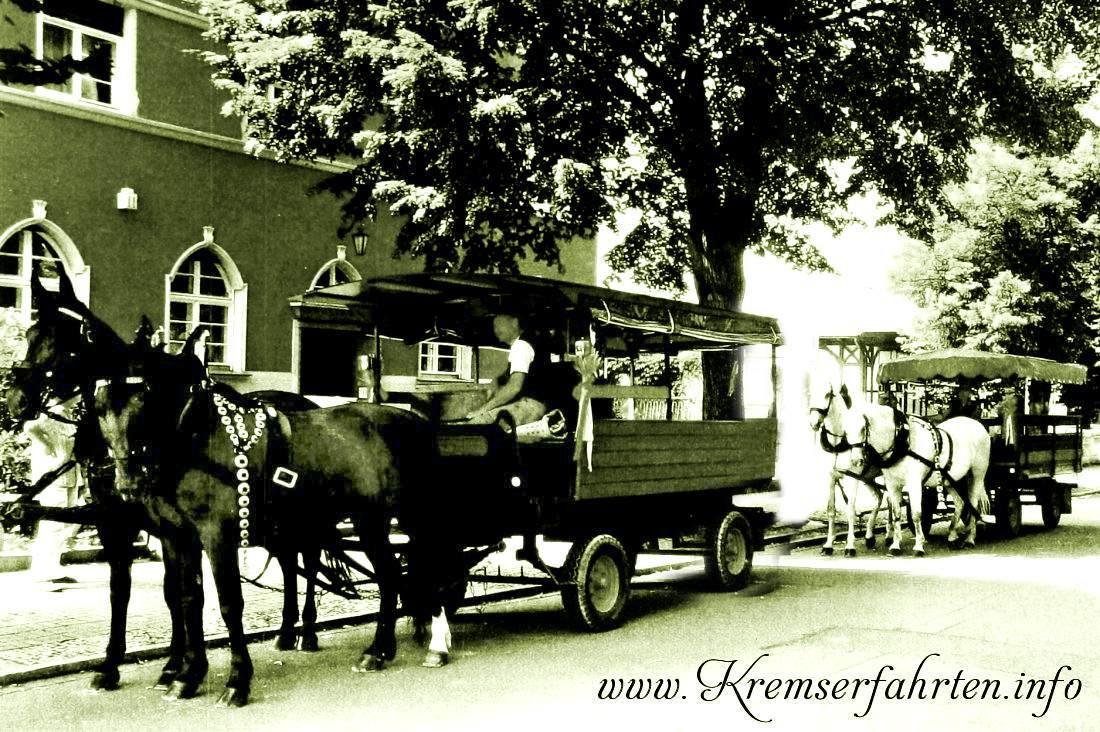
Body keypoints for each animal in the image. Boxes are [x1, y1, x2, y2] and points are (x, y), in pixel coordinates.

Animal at [809, 385, 893, 556]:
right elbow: (831, 510)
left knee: (891, 501)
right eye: (810, 391)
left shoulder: (852, 479)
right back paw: (869, 536)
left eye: (827, 394)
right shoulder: (830, 478)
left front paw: (850, 545)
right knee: (879, 497)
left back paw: (889, 535)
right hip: (869, 477)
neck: (837, 443)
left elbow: (850, 510)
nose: (813, 423)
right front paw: (828, 544)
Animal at [840, 400, 998, 554]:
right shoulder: (892, 484)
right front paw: (895, 546)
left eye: (863, 428)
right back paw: (952, 537)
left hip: (977, 475)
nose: (855, 461)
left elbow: (916, 514)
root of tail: (977, 424)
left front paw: (918, 546)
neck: (903, 443)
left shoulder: (914, 482)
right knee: (960, 502)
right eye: (845, 430)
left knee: (973, 503)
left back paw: (970, 539)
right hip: (950, 480)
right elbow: (896, 513)